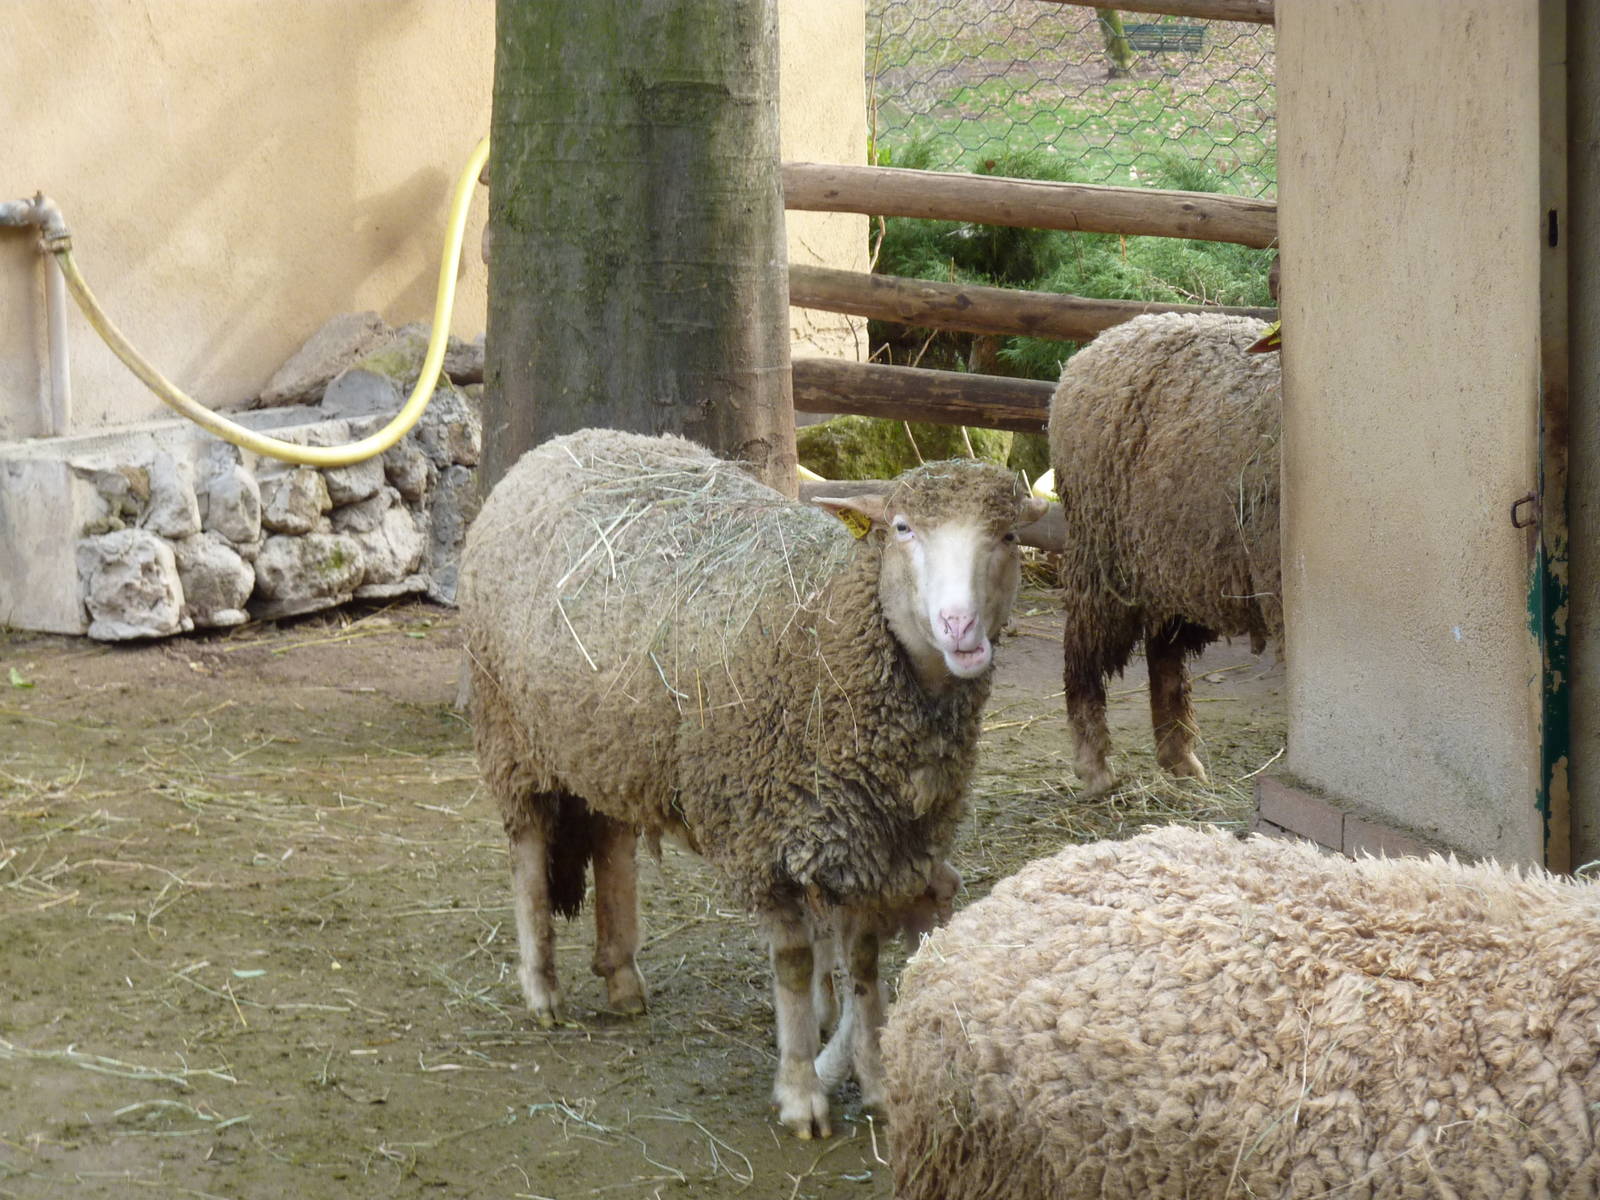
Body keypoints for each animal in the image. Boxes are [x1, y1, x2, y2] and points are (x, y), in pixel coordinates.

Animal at [457, 427, 1046, 1138]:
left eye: (1008, 536)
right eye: (903, 528)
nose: (961, 629)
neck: (824, 626)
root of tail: (560, 445)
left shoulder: (871, 841)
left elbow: (864, 963)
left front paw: (877, 1082)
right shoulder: (761, 835)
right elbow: (793, 964)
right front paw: (801, 1094)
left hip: (611, 741)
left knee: (612, 844)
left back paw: (622, 977)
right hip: (509, 728)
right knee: (527, 853)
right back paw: (541, 988)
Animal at [1048, 311, 1281, 792]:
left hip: (1171, 561)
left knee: (1164, 658)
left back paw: (1180, 759)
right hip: (1101, 557)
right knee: (1081, 656)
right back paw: (1095, 765)